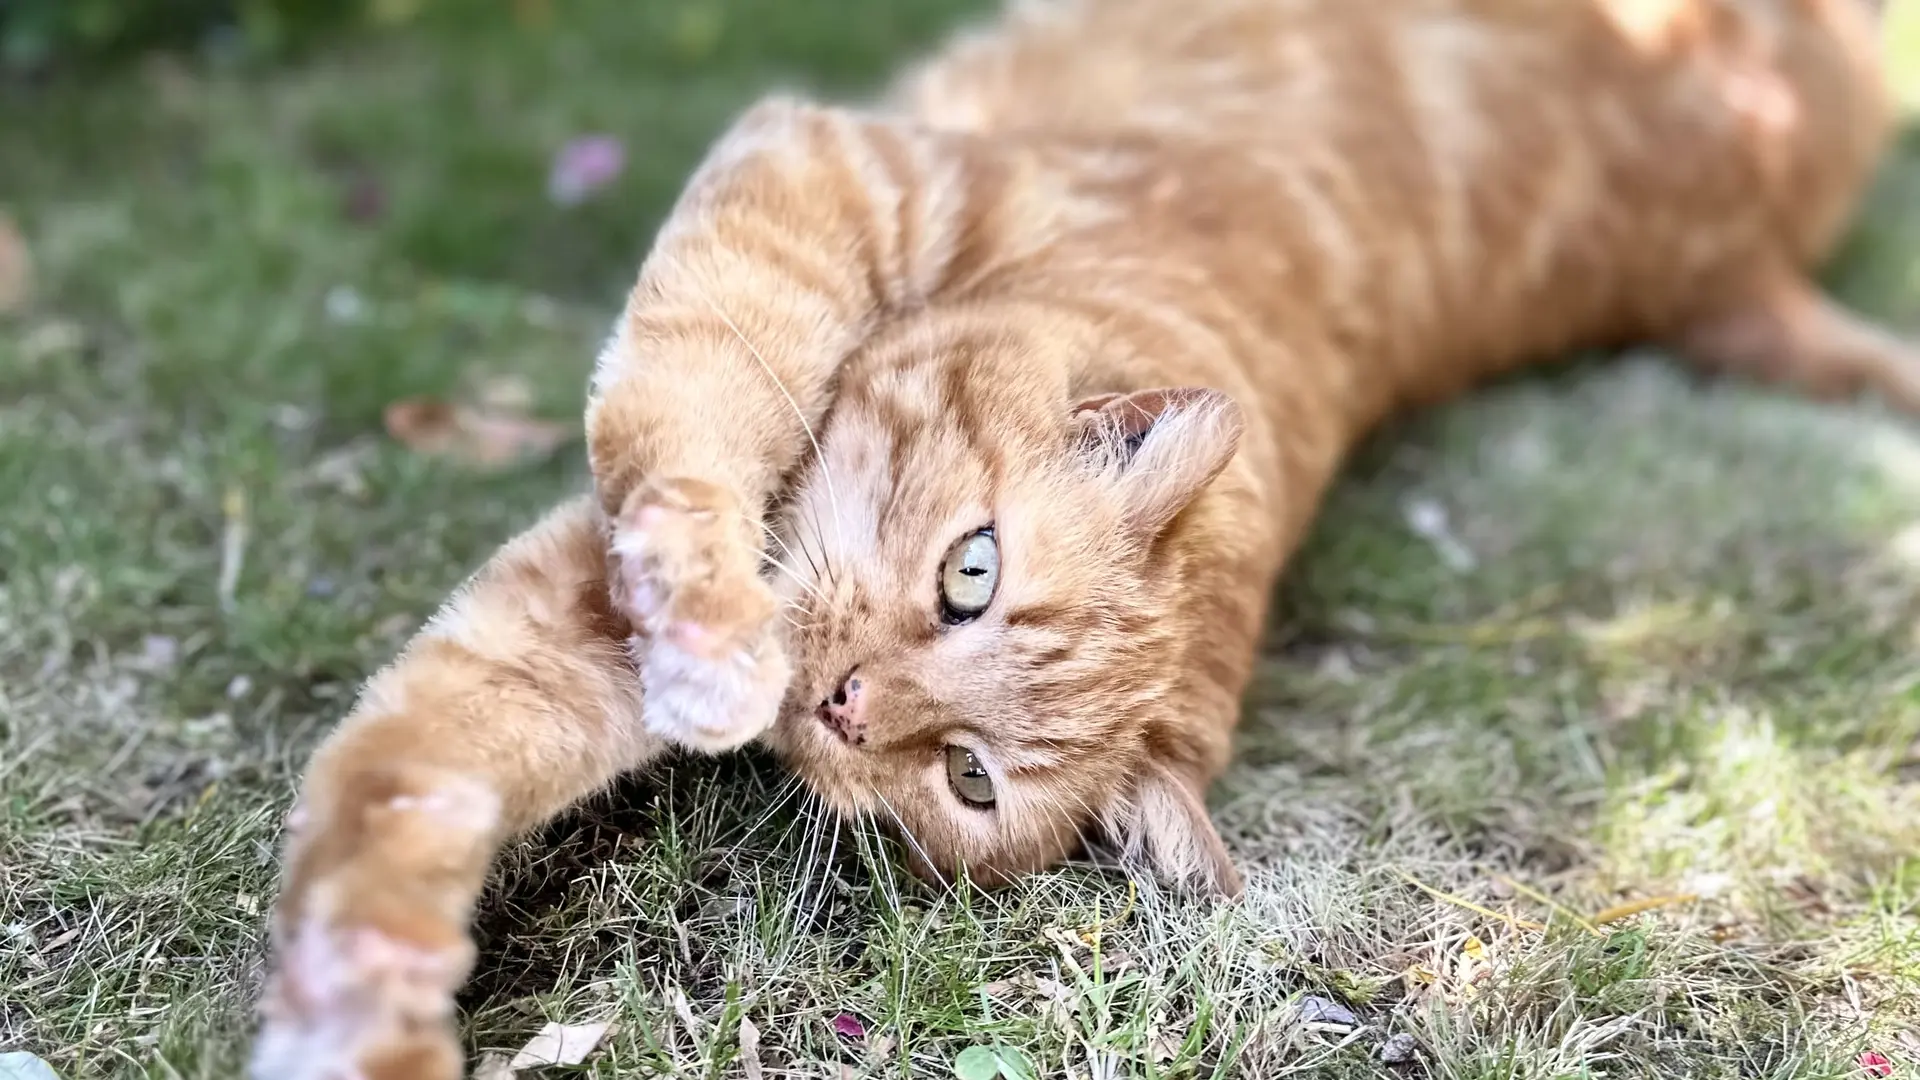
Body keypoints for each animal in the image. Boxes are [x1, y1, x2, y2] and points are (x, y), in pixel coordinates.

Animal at [259, 4, 1920, 1068]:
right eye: (971, 570)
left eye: (969, 780)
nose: (840, 704)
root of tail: (1738, 258)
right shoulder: (825, 176)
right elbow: (685, 420)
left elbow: (422, 761)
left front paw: (363, 994)